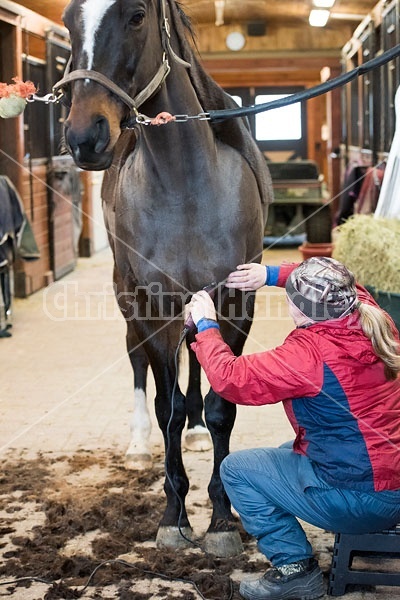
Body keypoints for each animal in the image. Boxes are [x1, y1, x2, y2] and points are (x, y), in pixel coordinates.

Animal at [58, 0, 272, 556]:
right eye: (68, 20)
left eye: (136, 15)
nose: (85, 136)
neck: (186, 186)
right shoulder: (153, 307)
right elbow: (166, 406)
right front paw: (175, 516)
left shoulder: (234, 303)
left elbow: (220, 406)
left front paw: (221, 520)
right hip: (127, 299)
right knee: (138, 363)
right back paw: (138, 445)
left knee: (197, 360)